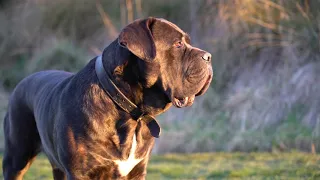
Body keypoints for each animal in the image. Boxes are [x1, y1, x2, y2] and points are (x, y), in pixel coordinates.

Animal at [2, 16, 214, 179]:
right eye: (178, 44)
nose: (208, 57)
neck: (130, 114)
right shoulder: (81, 173)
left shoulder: (137, 171)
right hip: (16, 158)